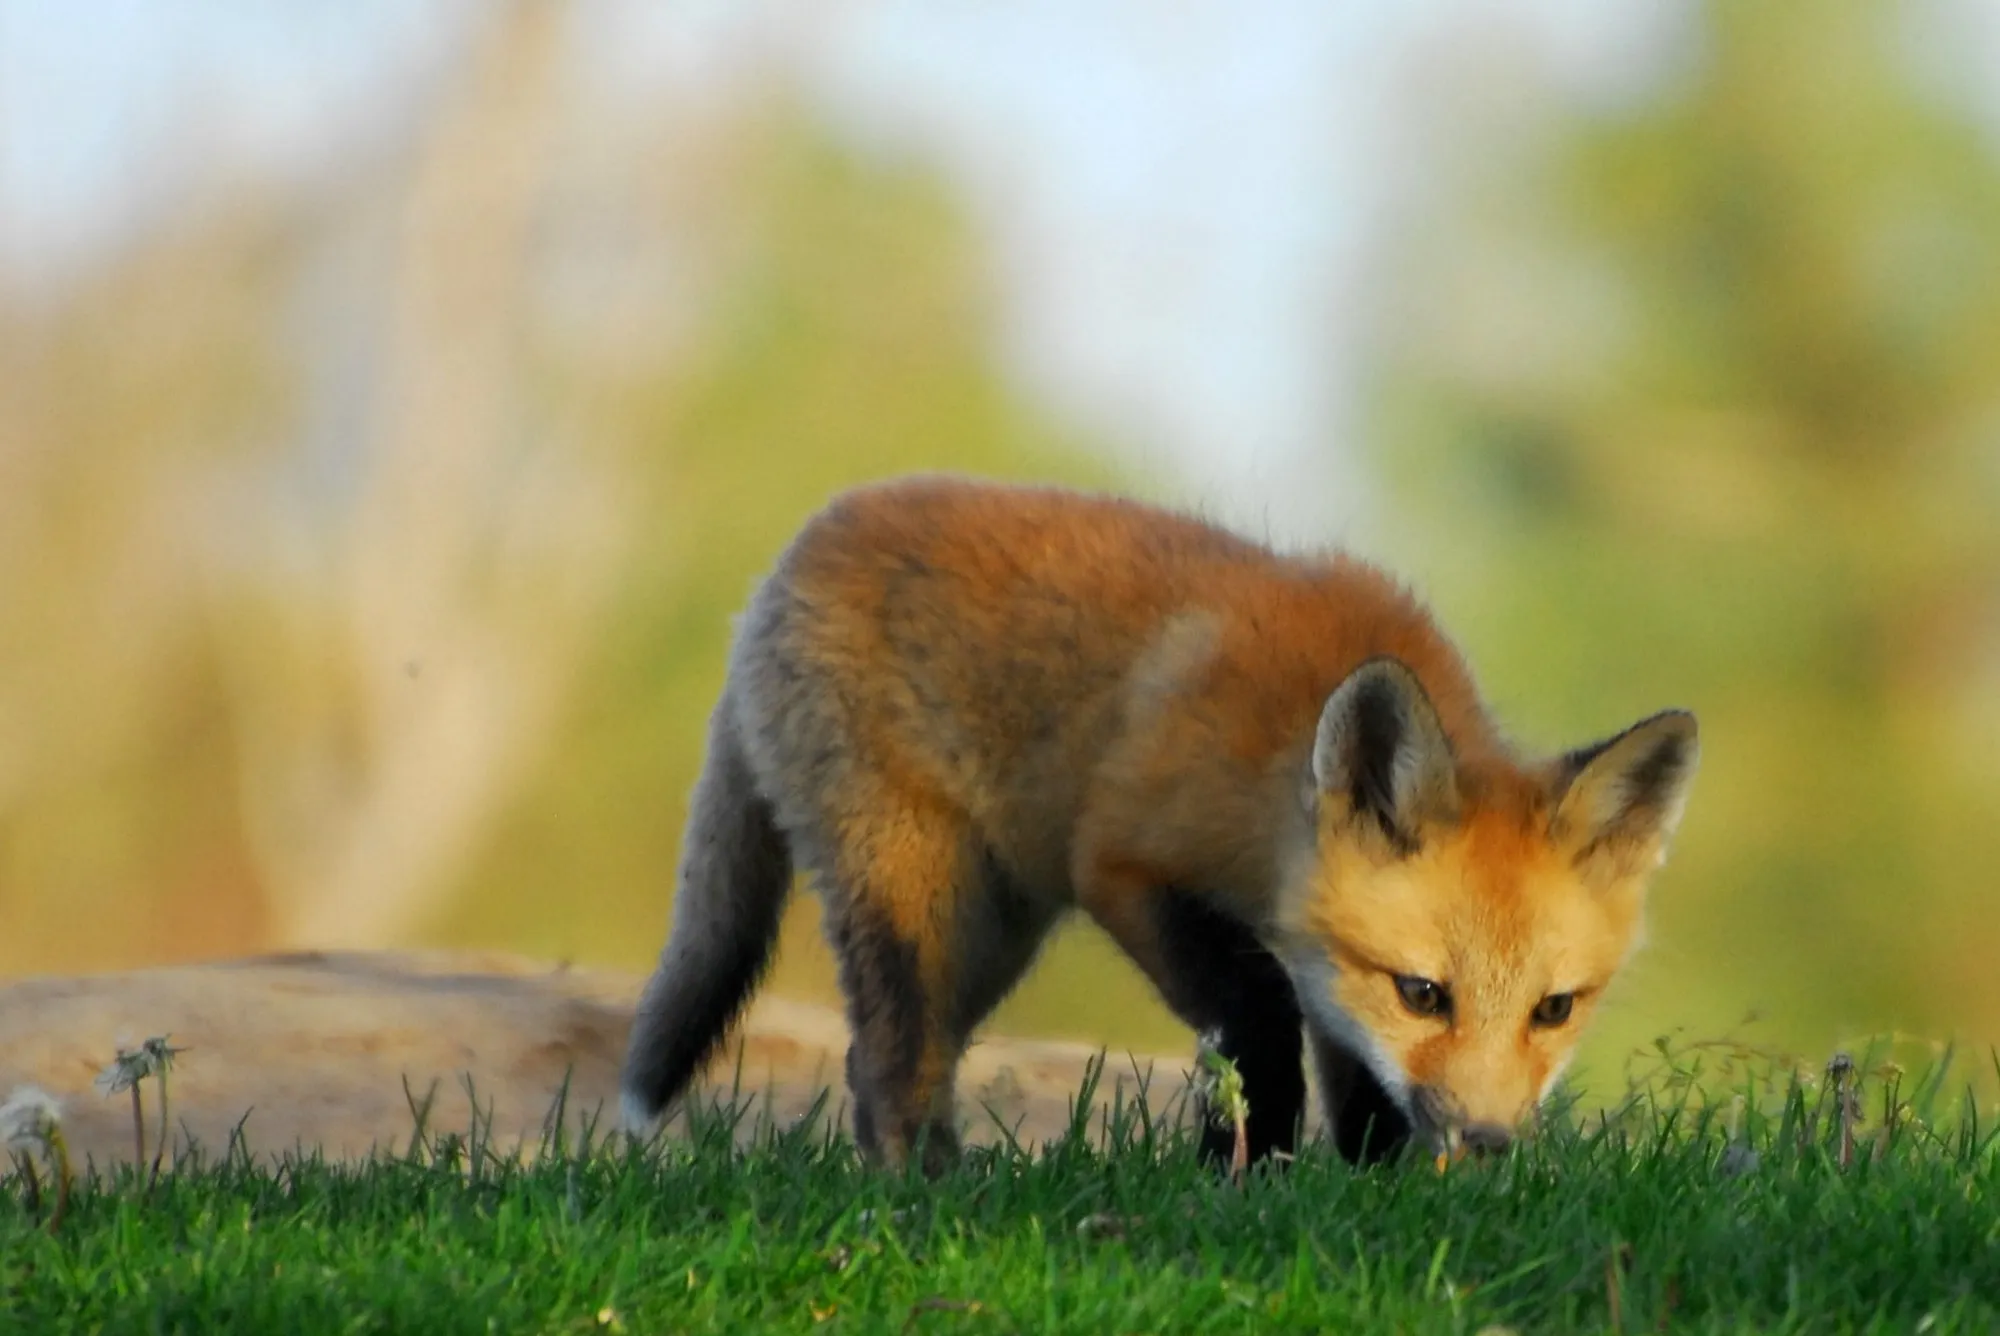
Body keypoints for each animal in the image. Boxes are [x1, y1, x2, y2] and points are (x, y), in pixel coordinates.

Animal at [620, 474, 1698, 1173]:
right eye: (1424, 994)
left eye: (1553, 1009)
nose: (1484, 1144)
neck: (1273, 774)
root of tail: (782, 563)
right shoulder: (1125, 867)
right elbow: (1258, 1020)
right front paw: (1245, 1170)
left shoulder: (1320, 964)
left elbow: (1357, 1078)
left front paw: (1369, 1186)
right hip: (916, 894)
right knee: (893, 1059)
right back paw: (924, 1195)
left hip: (993, 929)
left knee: (877, 1058)